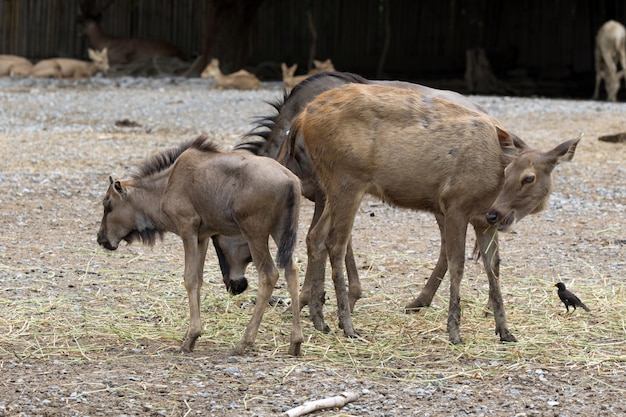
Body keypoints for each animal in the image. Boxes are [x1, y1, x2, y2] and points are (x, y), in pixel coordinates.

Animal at [96, 136, 304, 354]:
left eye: (107, 204)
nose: (101, 238)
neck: (166, 185)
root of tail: (290, 180)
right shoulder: (202, 237)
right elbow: (199, 279)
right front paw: (191, 334)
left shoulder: (187, 229)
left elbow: (190, 279)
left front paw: (191, 337)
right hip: (280, 232)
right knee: (292, 270)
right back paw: (295, 342)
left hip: (256, 234)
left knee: (269, 274)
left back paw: (244, 342)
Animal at [280, 83, 576, 342]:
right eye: (509, 172)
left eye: (529, 177)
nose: (497, 214)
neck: (488, 191)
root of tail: (302, 117)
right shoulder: (456, 204)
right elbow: (458, 264)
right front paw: (454, 332)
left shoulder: (482, 222)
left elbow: (493, 268)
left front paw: (505, 331)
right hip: (347, 178)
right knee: (336, 243)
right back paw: (347, 325)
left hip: (333, 184)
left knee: (315, 236)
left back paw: (321, 321)